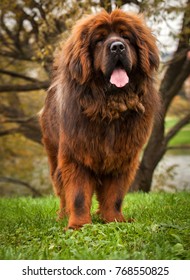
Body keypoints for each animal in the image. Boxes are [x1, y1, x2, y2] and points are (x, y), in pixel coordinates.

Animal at [40, 9, 160, 230]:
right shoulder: (76, 156)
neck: (108, 107)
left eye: (125, 37)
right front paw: (78, 225)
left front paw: (114, 220)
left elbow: (115, 195)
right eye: (100, 40)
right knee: (61, 190)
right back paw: (63, 215)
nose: (117, 47)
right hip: (53, 152)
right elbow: (78, 195)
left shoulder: (123, 156)